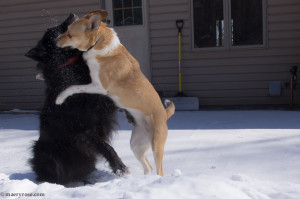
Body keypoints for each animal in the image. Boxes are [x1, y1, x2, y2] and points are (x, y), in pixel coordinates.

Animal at [25, 14, 127, 185]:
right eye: (57, 30)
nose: (71, 14)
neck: (70, 65)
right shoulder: (83, 129)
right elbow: (106, 147)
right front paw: (120, 169)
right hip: (43, 151)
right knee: (59, 175)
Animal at [55, 10, 176, 176]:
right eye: (66, 30)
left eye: (69, 35)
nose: (55, 40)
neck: (98, 42)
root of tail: (165, 115)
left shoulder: (100, 86)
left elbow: (73, 88)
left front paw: (59, 98)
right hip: (136, 145)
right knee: (148, 167)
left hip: (156, 146)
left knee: (158, 170)